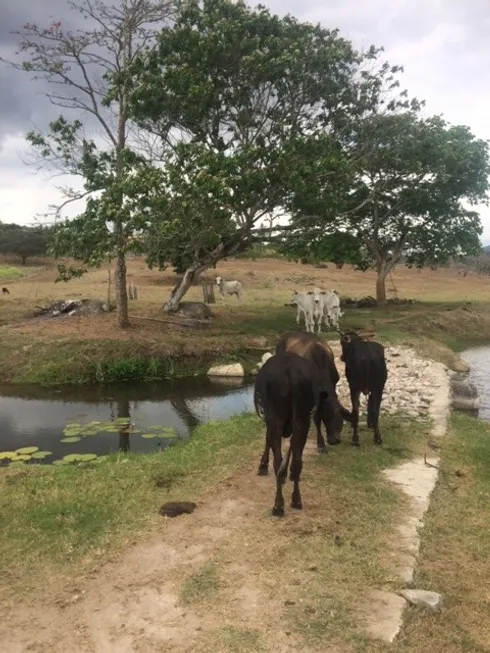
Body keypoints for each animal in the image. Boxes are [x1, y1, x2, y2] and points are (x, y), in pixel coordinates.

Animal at [255, 352, 320, 516]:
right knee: (297, 462)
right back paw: (296, 500)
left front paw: (263, 465)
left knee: (277, 461)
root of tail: (292, 369)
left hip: (276, 419)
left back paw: (278, 505)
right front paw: (287, 474)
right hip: (304, 419)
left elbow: (267, 440)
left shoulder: (268, 419)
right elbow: (291, 447)